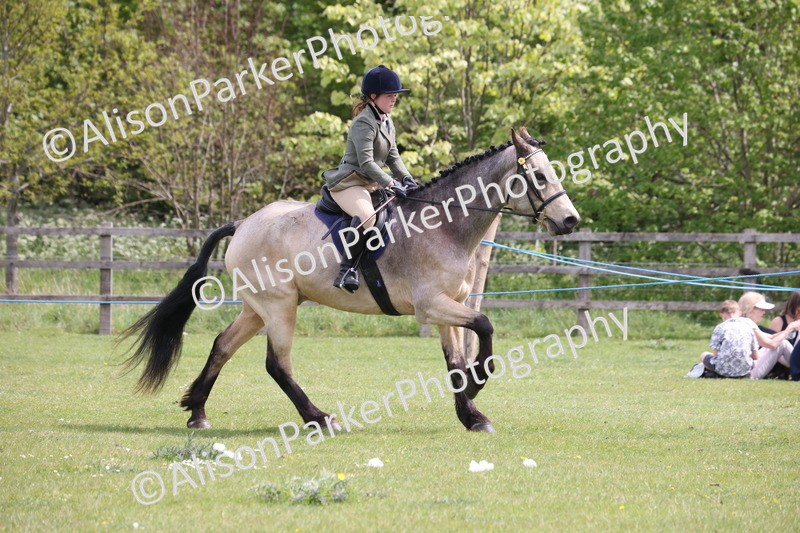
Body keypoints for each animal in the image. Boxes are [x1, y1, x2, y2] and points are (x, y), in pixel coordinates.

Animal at [123, 127, 580, 433]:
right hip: (278, 306)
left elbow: (454, 362)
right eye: (539, 177)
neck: (444, 225)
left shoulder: (447, 307)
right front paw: (479, 382)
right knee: (277, 364)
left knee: (222, 346)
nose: (570, 221)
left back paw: (198, 411)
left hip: (258, 307)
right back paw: (319, 418)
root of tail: (244, 223)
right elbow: (484, 325)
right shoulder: (431, 306)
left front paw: (471, 413)